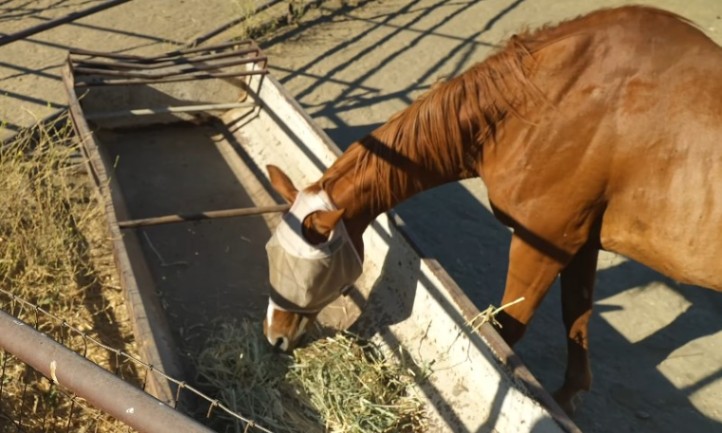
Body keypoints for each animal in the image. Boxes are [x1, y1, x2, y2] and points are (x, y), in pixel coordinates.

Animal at [262, 5, 722, 414]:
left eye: (311, 275)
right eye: (270, 255)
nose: (275, 338)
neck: (550, 105)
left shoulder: (543, 246)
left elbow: (504, 333)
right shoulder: (581, 244)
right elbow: (576, 316)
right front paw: (568, 395)